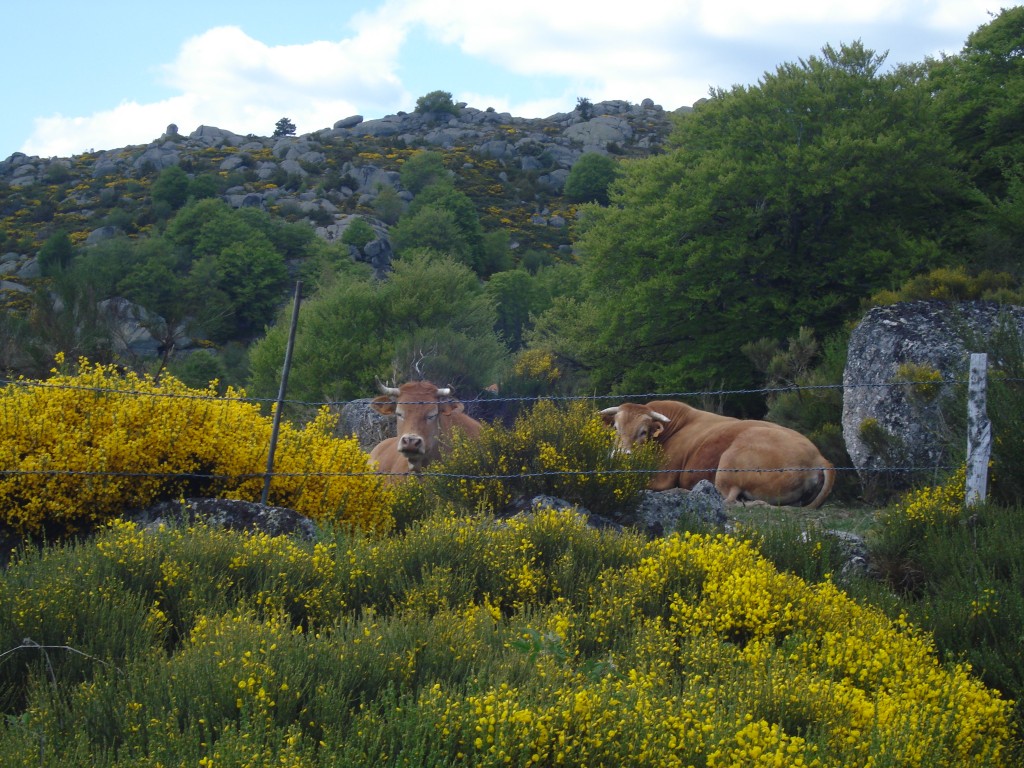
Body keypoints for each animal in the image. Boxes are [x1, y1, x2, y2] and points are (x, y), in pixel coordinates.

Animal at [598, 399, 831, 507]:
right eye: (616, 428)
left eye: (643, 432)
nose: (620, 455)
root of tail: (819, 457)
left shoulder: (663, 476)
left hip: (731, 459)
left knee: (728, 498)